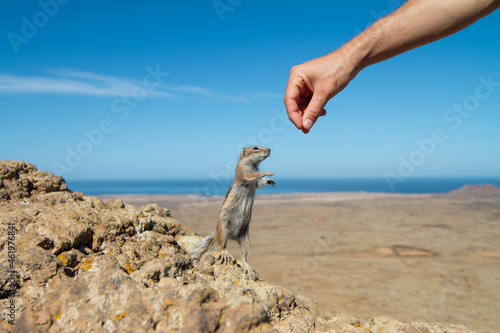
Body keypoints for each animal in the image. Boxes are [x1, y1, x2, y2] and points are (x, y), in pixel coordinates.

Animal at [189, 147, 276, 278]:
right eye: (255, 148)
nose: (269, 149)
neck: (253, 164)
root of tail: (233, 236)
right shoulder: (242, 172)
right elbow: (250, 176)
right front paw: (268, 173)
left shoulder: (254, 182)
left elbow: (258, 183)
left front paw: (270, 181)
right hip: (223, 228)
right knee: (221, 245)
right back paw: (225, 253)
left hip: (245, 238)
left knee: (244, 255)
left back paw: (248, 267)